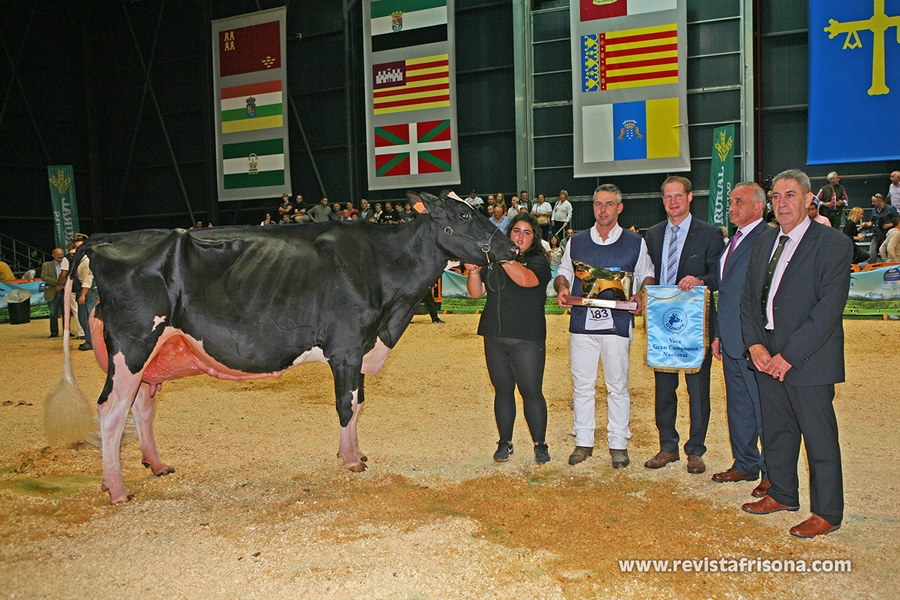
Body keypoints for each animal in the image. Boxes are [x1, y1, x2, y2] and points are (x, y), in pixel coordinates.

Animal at [65, 191, 512, 502]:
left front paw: (357, 453)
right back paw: (117, 489)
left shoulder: (361, 346)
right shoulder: (346, 346)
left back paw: (157, 465)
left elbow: (359, 402)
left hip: (154, 355)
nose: (511, 248)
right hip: (132, 345)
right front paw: (350, 460)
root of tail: (101, 241)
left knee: (142, 406)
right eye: (463, 215)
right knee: (111, 410)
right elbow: (347, 404)